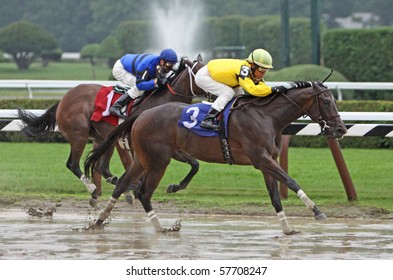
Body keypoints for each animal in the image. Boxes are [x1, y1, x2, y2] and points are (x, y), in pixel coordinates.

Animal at [16, 55, 205, 207]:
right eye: (202, 73)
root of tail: (63, 98)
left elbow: (195, 164)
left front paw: (175, 186)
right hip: (79, 135)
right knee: (74, 164)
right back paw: (94, 187)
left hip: (104, 139)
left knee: (101, 167)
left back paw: (116, 187)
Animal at [85, 81, 346, 234]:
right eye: (326, 101)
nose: (340, 129)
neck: (266, 116)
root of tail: (140, 114)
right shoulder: (261, 159)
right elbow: (291, 182)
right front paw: (316, 211)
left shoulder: (265, 163)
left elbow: (275, 197)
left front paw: (287, 228)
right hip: (158, 160)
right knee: (143, 192)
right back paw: (162, 227)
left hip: (144, 158)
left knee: (122, 185)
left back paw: (98, 221)